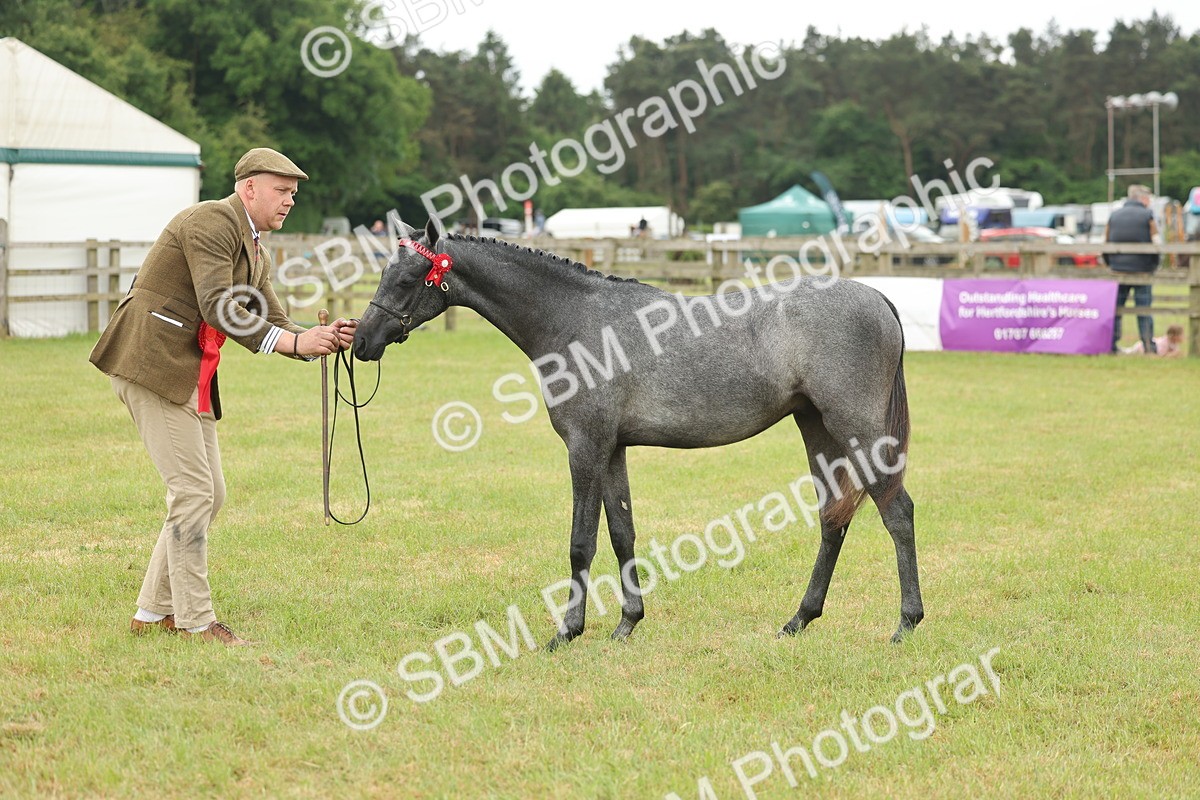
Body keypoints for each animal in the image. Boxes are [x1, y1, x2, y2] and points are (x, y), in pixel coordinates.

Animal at [353, 219, 923, 648]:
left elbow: (581, 543)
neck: (575, 320)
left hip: (857, 431)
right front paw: (627, 623)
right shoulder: (612, 450)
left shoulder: (585, 447)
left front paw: (568, 631)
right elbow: (622, 532)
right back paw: (799, 619)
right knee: (833, 519)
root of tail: (878, 298)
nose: (361, 342)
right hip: (818, 431)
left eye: (405, 280)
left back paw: (905, 624)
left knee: (896, 512)